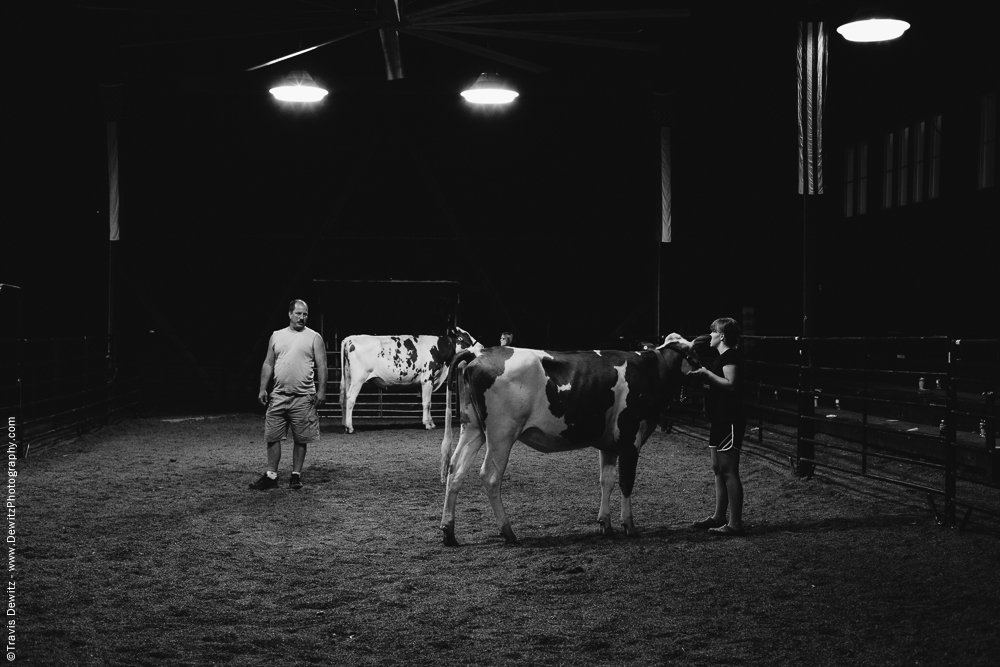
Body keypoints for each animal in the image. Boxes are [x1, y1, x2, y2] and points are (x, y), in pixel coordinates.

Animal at [338, 328, 482, 434]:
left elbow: (428, 402)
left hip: (348, 378)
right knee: (350, 399)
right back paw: (350, 427)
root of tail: (350, 338)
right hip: (358, 379)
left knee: (344, 399)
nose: (481, 346)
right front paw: (427, 424)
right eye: (463, 336)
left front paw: (431, 422)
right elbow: (426, 403)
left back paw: (344, 425)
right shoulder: (427, 380)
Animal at [440, 334, 712, 548]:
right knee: (490, 476)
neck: (652, 370)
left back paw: (448, 531)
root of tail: (478, 353)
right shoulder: (629, 438)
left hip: (473, 428)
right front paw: (629, 526)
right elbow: (626, 482)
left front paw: (605, 524)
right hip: (501, 433)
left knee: (455, 470)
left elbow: (607, 480)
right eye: (695, 354)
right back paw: (508, 531)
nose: (705, 375)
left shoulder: (609, 444)